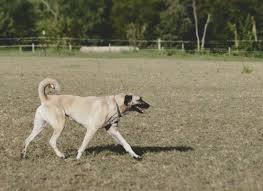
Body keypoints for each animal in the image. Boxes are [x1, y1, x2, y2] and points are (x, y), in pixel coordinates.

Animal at [21, 77, 151, 160]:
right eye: (140, 99)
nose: (149, 105)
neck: (114, 103)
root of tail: (46, 99)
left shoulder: (112, 130)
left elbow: (126, 144)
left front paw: (135, 156)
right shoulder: (92, 129)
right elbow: (83, 145)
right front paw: (78, 158)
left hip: (39, 127)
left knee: (27, 140)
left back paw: (23, 155)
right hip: (59, 125)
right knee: (52, 141)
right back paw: (61, 155)